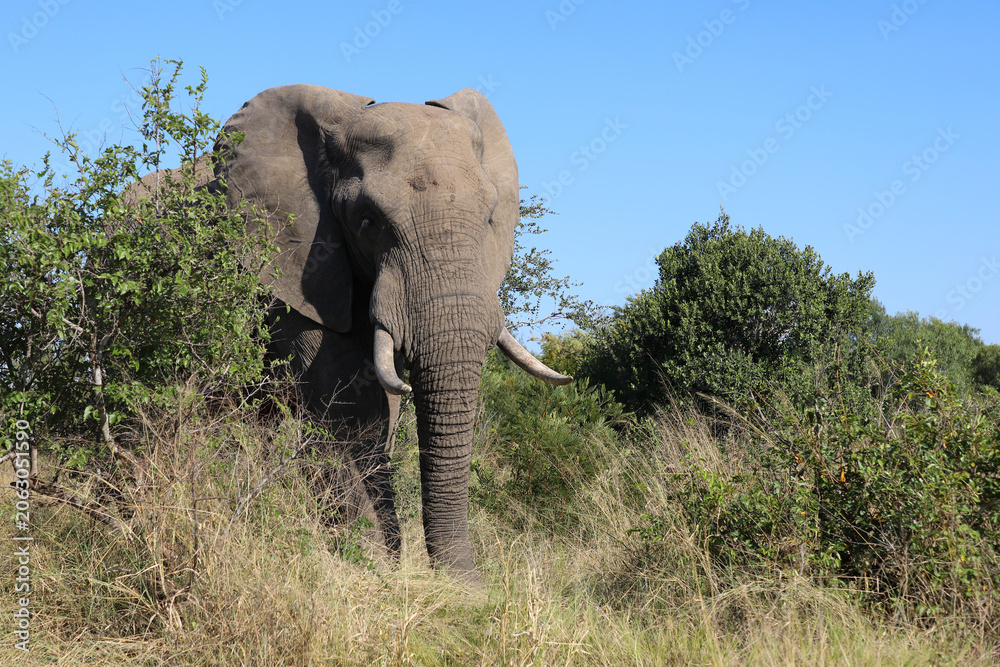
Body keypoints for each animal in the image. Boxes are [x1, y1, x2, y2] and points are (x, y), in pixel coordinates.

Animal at [199, 84, 571, 580]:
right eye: (367, 220)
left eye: (491, 216)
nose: (472, 588)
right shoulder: (290, 268)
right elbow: (349, 405)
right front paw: (372, 567)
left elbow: (382, 406)